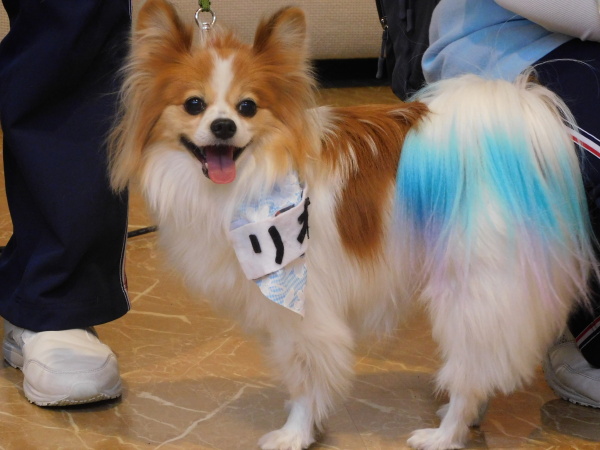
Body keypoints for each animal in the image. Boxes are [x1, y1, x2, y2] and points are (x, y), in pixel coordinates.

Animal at [109, 0, 597, 448]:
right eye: (194, 105)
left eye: (247, 107)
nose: (224, 126)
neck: (256, 178)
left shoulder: (306, 308)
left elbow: (306, 377)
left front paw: (296, 432)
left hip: (472, 286)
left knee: (473, 364)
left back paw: (445, 433)